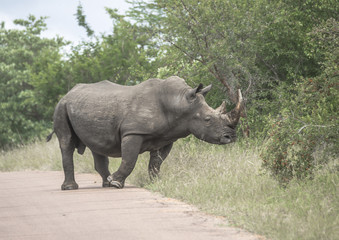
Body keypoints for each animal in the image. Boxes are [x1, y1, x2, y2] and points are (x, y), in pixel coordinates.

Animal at [47, 76, 244, 189]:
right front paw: (117, 183)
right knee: (66, 143)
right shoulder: (133, 132)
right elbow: (130, 159)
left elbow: (157, 162)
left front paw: (156, 182)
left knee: (97, 146)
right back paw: (72, 187)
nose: (231, 137)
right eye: (207, 119)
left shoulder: (166, 137)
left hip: (87, 106)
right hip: (61, 106)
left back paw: (106, 183)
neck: (178, 102)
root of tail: (68, 93)